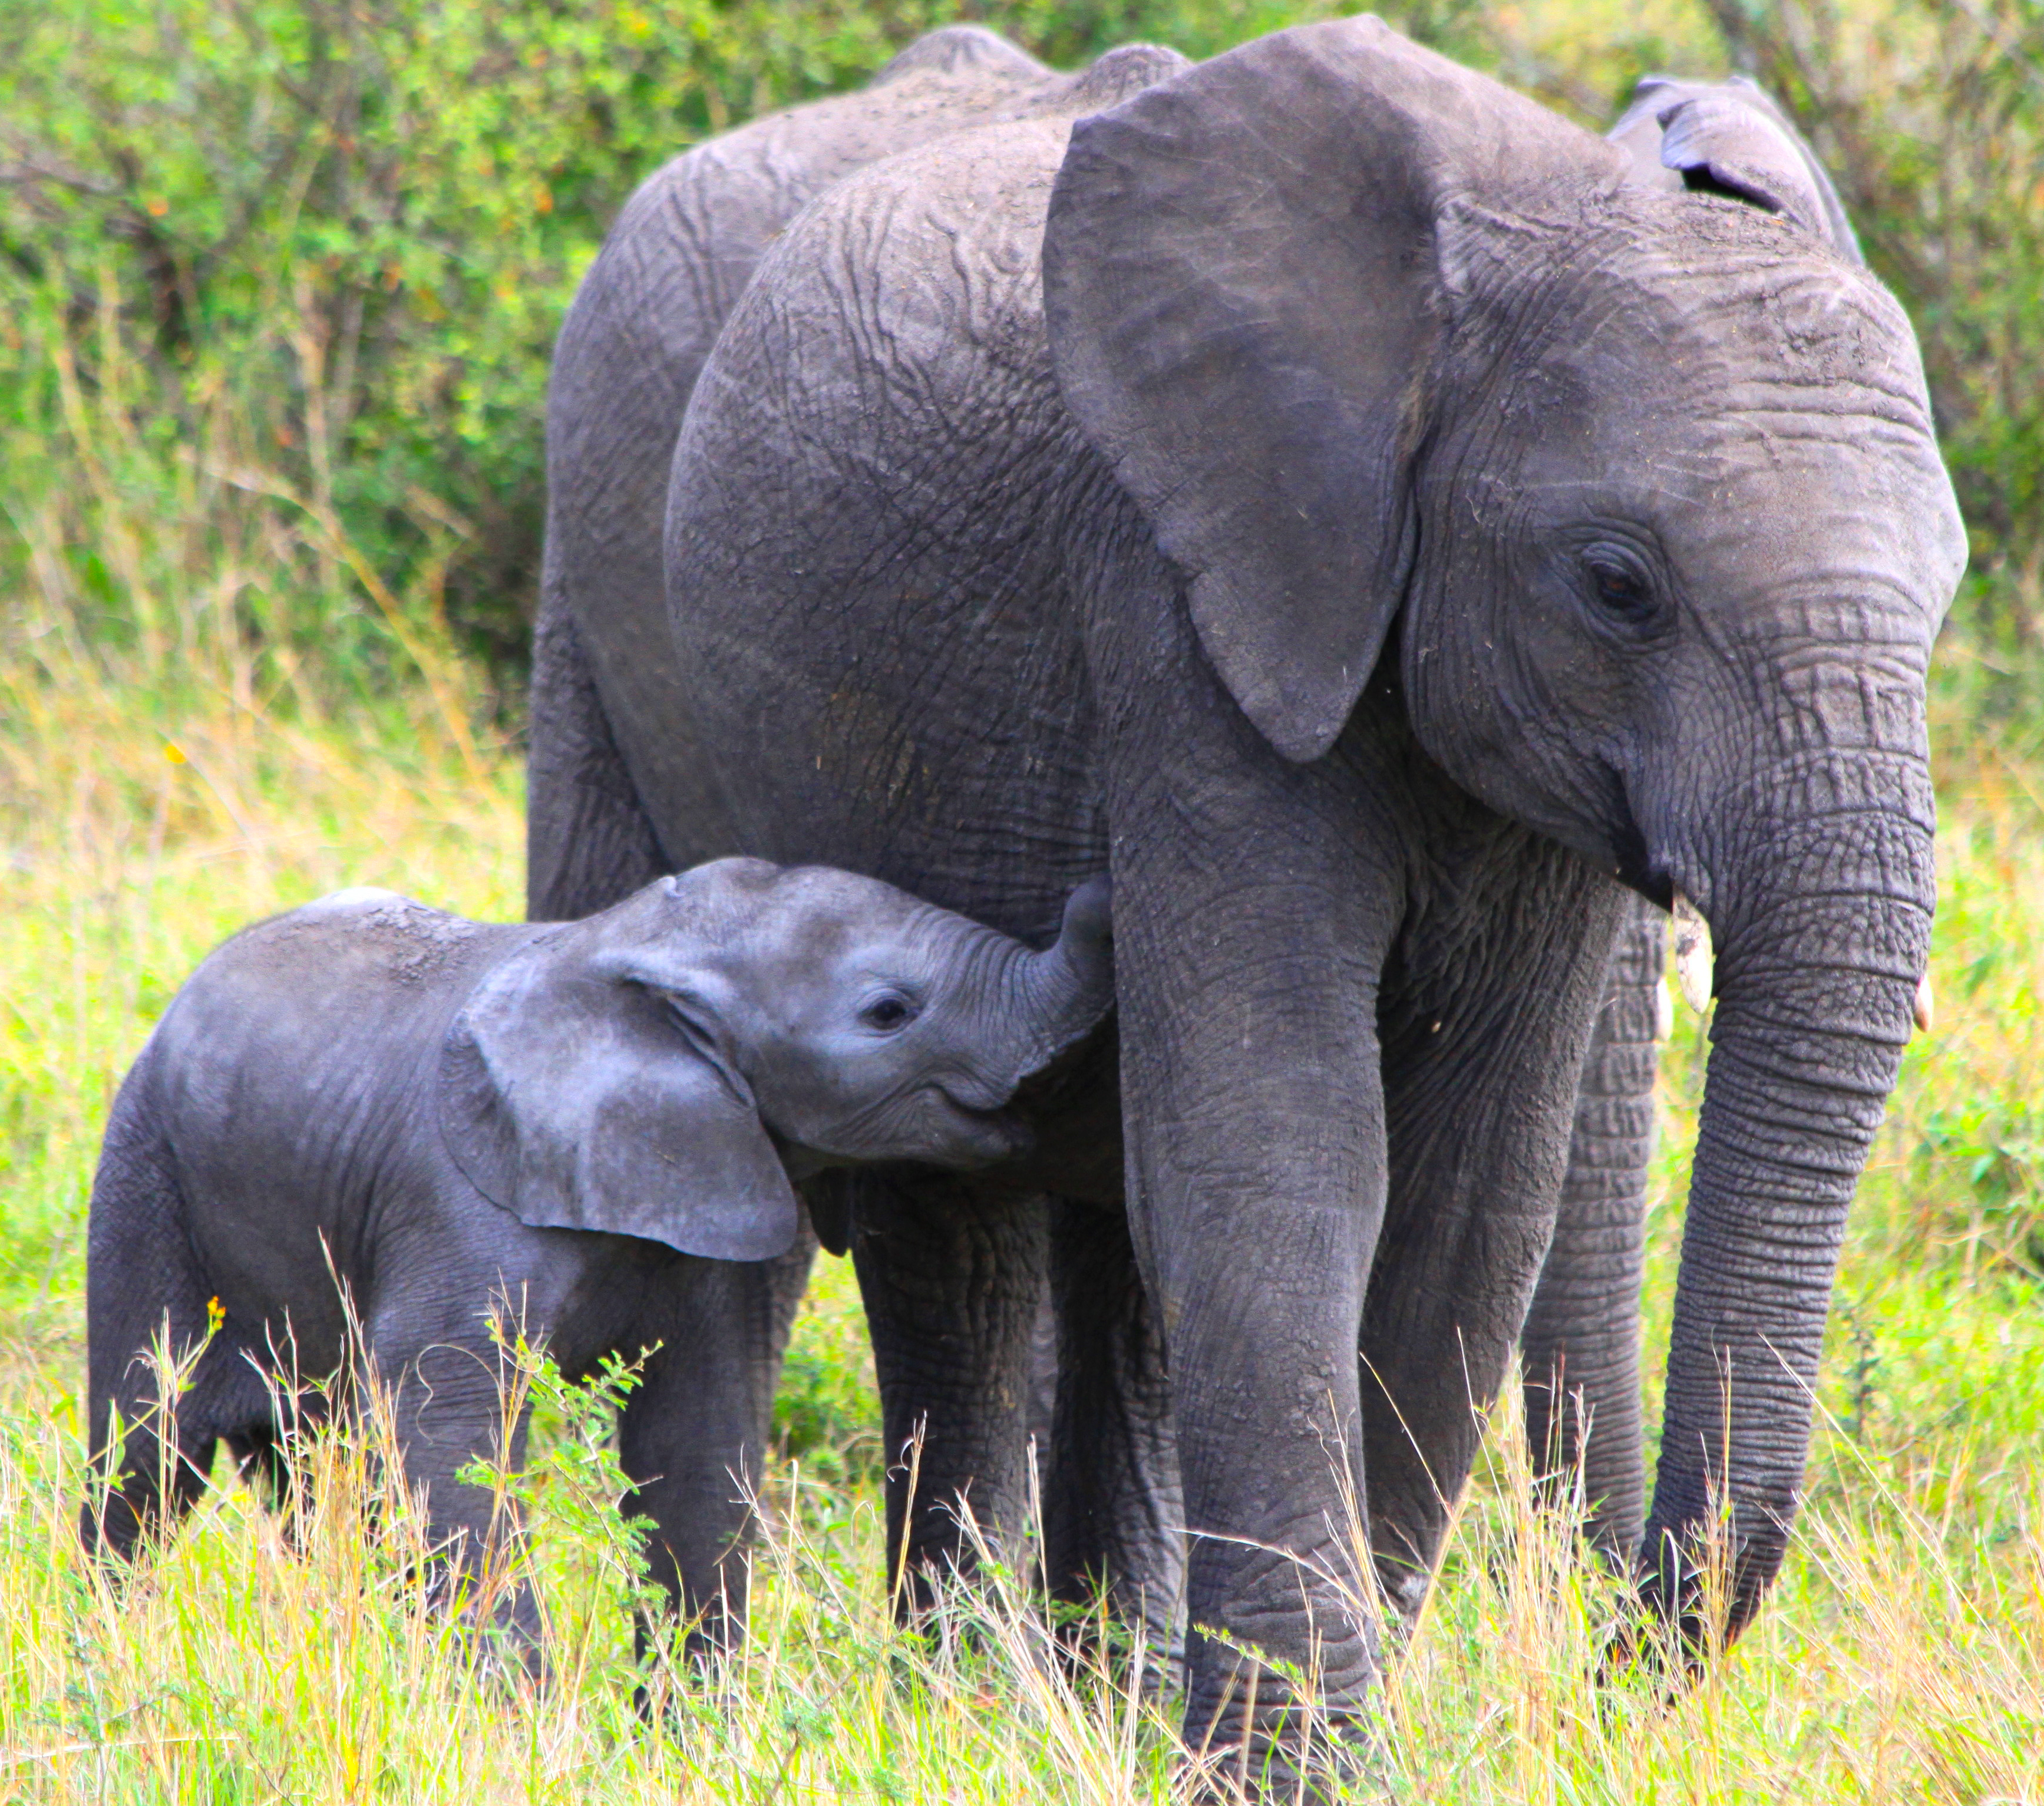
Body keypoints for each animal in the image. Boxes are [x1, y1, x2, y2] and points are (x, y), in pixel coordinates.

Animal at [80, 862, 1112, 1650]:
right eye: (890, 1011)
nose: (1096, 888)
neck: (643, 953)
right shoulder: (457, 1205)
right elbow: (449, 1420)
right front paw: (516, 1729)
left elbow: (697, 1437)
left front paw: (690, 1740)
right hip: (144, 1185)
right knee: (145, 1460)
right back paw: (108, 1660)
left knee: (321, 1474)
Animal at [535, 17, 1954, 1781]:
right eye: (1615, 583)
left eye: (1949, 595)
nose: (1625, 1674)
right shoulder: (1180, 618)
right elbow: (1279, 1156)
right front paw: (1282, 1767)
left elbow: (1464, 1206)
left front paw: (1309, 1750)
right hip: (599, 578)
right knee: (886, 1227)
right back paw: (906, 1707)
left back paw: (1072, 1693)